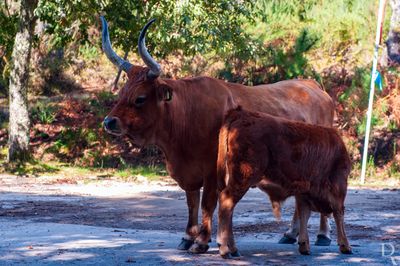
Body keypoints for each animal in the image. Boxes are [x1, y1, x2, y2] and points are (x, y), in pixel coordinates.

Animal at [100, 16, 334, 254]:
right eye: (121, 93)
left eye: (139, 98)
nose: (109, 122)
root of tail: (312, 85)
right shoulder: (190, 173)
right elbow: (192, 203)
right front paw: (188, 237)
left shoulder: (212, 171)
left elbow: (208, 203)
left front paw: (202, 240)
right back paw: (291, 233)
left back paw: (323, 235)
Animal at [217, 106, 352, 258]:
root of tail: (240, 113)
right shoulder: (338, 186)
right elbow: (338, 213)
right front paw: (345, 245)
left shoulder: (303, 192)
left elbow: (303, 213)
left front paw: (304, 244)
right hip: (242, 178)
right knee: (226, 202)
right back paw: (224, 248)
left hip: (233, 179)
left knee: (229, 209)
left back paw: (233, 249)